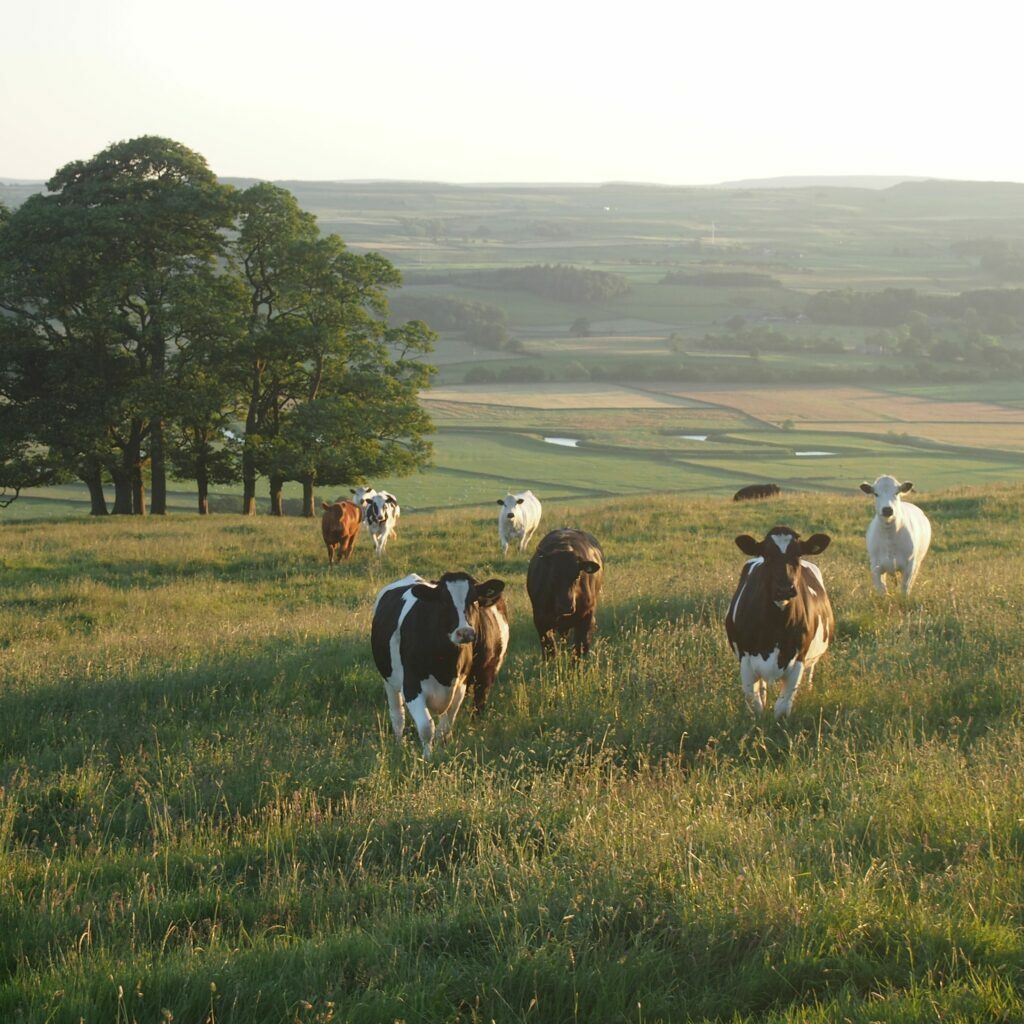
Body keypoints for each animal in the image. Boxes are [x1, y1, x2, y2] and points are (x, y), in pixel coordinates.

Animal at [372, 569, 507, 761]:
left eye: (474, 600)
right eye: (444, 601)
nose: (464, 632)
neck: (444, 664)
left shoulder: (460, 687)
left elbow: (444, 729)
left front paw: (442, 755)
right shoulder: (411, 686)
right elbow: (426, 727)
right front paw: (427, 758)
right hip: (388, 680)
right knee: (398, 716)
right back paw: (399, 745)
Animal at [724, 528, 835, 720]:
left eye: (798, 554)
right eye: (767, 555)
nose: (784, 589)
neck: (775, 626)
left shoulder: (798, 660)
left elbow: (782, 707)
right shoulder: (746, 660)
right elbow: (755, 704)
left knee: (810, 673)